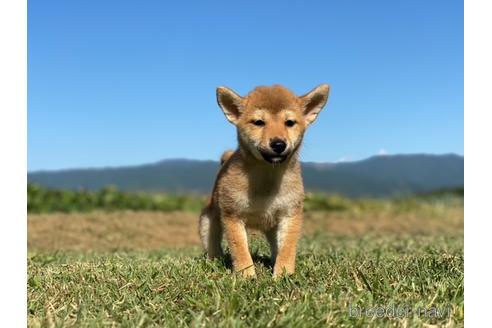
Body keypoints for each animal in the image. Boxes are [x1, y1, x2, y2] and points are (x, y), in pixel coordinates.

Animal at [199, 84, 330, 276]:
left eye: (289, 122)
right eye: (259, 122)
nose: (278, 144)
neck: (266, 180)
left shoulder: (290, 214)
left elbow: (287, 249)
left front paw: (283, 274)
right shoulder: (233, 215)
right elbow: (240, 250)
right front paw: (246, 275)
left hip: (272, 227)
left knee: (276, 248)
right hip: (208, 222)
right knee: (213, 245)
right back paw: (215, 261)